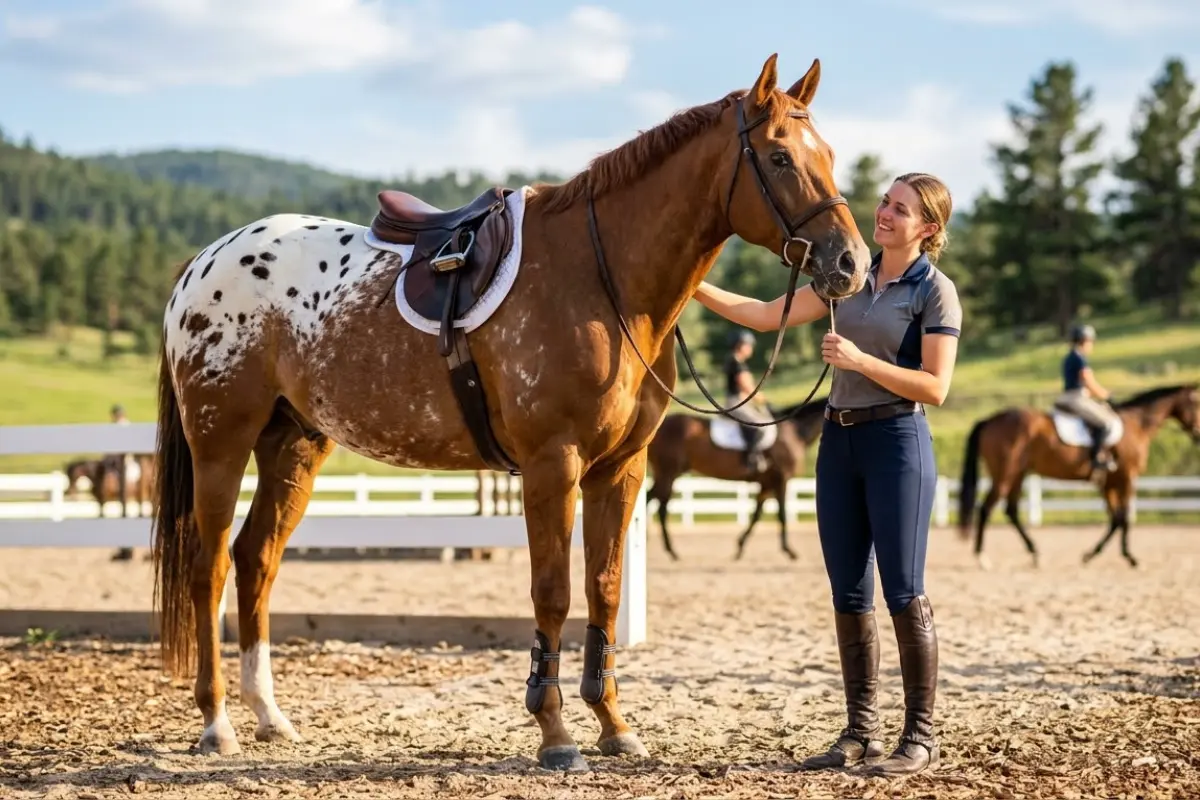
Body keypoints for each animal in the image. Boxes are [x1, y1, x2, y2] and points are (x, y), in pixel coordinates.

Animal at [646, 396, 827, 560]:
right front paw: (789, 550)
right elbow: (781, 514)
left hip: (666, 474)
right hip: (668, 473)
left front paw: (740, 546)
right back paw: (670, 550)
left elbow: (756, 515)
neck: (795, 431)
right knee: (660, 506)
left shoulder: (766, 484)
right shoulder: (781, 480)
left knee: (651, 498)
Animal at [957, 383, 1200, 569]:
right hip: (1005, 474)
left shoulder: (1108, 484)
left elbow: (1115, 519)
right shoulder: (1126, 478)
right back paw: (982, 558)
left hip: (1018, 474)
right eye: (1197, 403)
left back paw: (1035, 553)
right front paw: (1130, 557)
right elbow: (1124, 518)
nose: (1198, 435)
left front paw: (1091, 555)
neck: (1137, 424)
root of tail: (990, 419)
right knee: (986, 509)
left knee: (1011, 511)